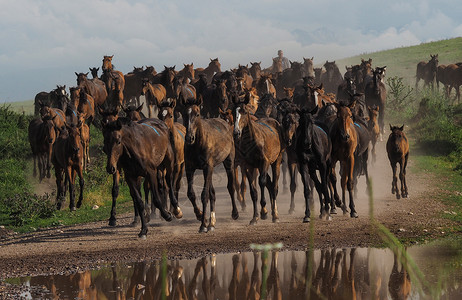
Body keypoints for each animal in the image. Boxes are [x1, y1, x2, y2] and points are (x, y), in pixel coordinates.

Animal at [181, 97, 238, 231]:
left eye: (197, 114)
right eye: (184, 114)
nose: (189, 138)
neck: (197, 144)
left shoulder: (207, 167)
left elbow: (204, 195)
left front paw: (203, 225)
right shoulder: (190, 168)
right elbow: (191, 193)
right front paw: (201, 216)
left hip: (228, 161)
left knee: (231, 186)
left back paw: (234, 213)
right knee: (213, 193)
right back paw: (212, 222)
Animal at [233, 92, 284, 224]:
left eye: (244, 111)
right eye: (234, 112)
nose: (236, 132)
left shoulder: (264, 163)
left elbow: (262, 182)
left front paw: (264, 211)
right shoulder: (248, 166)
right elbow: (253, 191)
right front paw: (255, 217)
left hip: (276, 161)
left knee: (274, 186)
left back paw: (275, 215)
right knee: (270, 185)